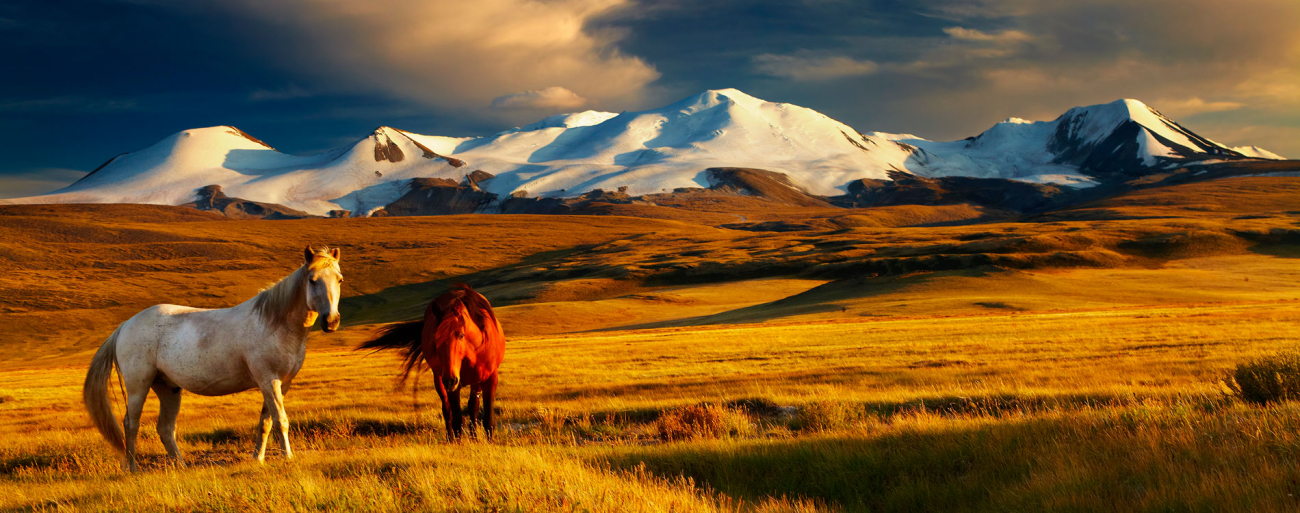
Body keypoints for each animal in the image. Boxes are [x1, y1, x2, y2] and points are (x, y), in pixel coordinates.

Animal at [83, 246, 343, 472]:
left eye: (339, 279)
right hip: (139, 386)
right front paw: (287, 457)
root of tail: (125, 325)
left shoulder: (281, 384)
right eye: (312, 279)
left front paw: (257, 459)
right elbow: (281, 420)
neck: (274, 323)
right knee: (131, 423)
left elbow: (266, 423)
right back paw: (133, 468)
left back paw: (182, 466)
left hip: (168, 388)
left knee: (165, 428)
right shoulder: (269, 380)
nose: (331, 321)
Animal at [366, 283, 506, 438]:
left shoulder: (490, 378)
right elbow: (457, 422)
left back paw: (474, 437)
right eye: (435, 339)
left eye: (461, 335)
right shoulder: (453, 385)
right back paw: (451, 438)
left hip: (474, 381)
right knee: (447, 410)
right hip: (440, 379)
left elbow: (488, 421)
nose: (450, 380)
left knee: (472, 406)